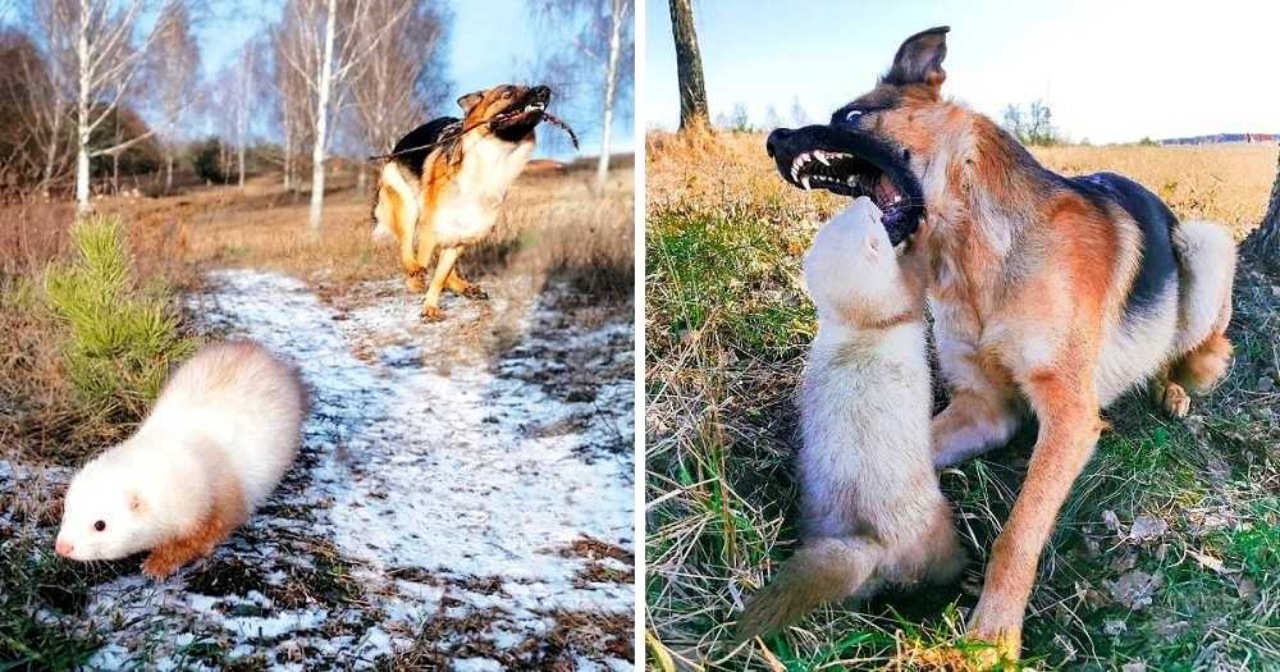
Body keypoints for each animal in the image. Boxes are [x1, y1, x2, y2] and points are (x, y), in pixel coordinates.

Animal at [371, 83, 550, 320]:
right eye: (507, 93)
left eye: (529, 87)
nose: (545, 90)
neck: (493, 160)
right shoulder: (430, 229)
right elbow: (424, 260)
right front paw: (417, 284)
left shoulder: (462, 236)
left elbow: (440, 276)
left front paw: (430, 304)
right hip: (407, 208)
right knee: (407, 246)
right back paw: (415, 271)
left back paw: (463, 286)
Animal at [762, 28, 1233, 655]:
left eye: (854, 116)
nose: (773, 139)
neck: (978, 254)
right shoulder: (985, 409)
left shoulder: (1069, 416)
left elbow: (1020, 531)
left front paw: (992, 635)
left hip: (1207, 247)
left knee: (1198, 351)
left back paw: (1173, 387)